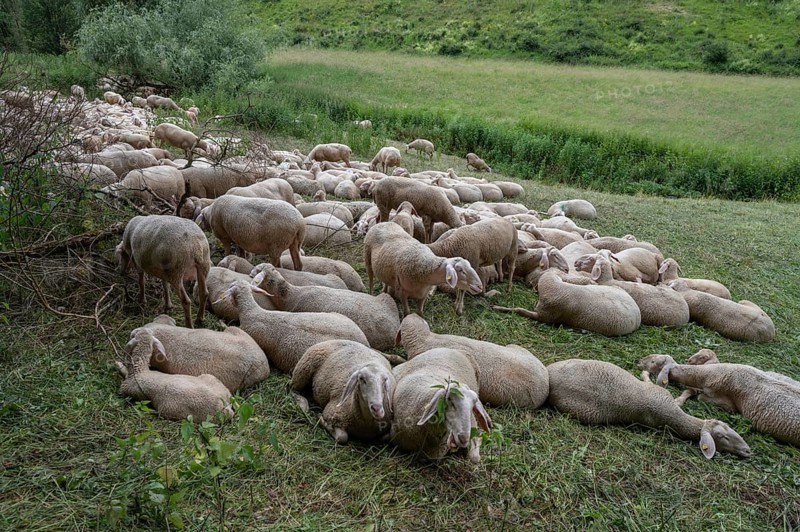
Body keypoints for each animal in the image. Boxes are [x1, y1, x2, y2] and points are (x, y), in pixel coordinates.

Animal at [547, 359, 751, 458]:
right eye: (722, 436)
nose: (748, 451)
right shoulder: (661, 393)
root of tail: (550, 375)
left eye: (728, 426)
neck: (669, 415)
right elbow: (677, 397)